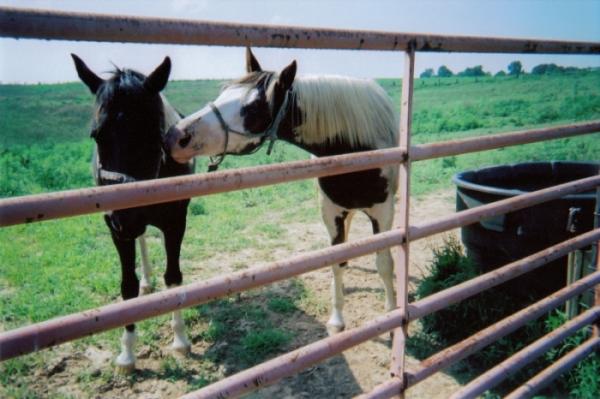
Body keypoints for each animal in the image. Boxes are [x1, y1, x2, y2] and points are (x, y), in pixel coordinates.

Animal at [72, 54, 195, 370]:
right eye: (96, 136)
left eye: (152, 135)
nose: (124, 218)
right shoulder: (115, 230)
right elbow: (127, 286)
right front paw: (127, 352)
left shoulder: (175, 222)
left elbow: (173, 277)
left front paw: (180, 340)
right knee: (141, 241)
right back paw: (147, 282)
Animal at [164, 47, 398, 334]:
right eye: (223, 91)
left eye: (253, 107)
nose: (176, 137)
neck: (356, 150)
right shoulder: (331, 213)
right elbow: (336, 261)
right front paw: (337, 320)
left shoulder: (384, 213)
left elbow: (384, 264)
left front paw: (391, 313)